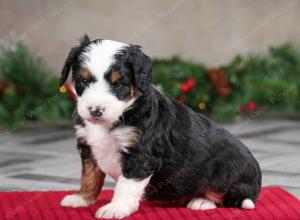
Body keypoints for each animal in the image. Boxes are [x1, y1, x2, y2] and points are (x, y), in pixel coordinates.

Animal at [59, 34, 262, 218]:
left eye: (118, 83)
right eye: (83, 80)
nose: (95, 110)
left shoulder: (141, 156)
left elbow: (125, 186)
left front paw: (116, 208)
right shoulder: (88, 147)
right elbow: (89, 176)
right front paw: (81, 198)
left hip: (226, 172)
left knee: (228, 198)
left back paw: (203, 201)